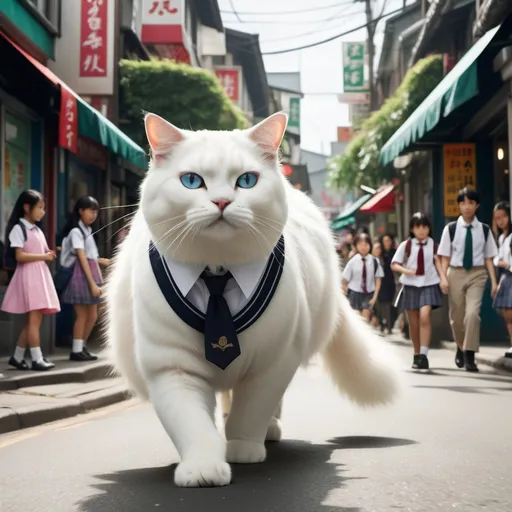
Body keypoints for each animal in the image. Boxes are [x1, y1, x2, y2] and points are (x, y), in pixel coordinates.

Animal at [106, 111, 402, 488]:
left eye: (246, 181)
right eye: (191, 181)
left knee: (263, 406)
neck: (217, 273)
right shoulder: (172, 366)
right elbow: (191, 423)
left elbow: (252, 411)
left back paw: (267, 431)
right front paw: (203, 466)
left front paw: (243, 447)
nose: (221, 202)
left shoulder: (274, 362)